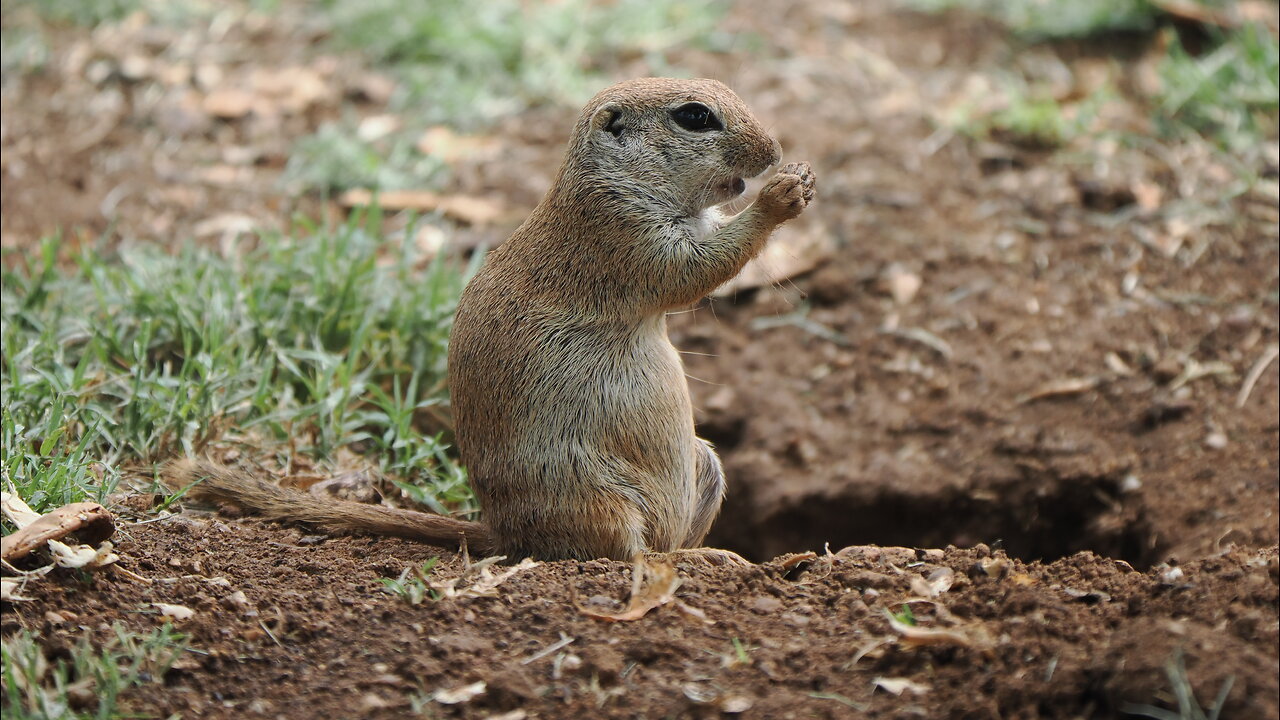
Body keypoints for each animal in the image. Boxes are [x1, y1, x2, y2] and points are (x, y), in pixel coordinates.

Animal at [165, 78, 814, 561]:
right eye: (695, 116)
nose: (775, 152)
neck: (610, 178)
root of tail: (503, 532)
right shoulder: (621, 233)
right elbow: (693, 267)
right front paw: (779, 196)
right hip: (593, 498)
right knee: (624, 554)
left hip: (705, 466)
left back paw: (714, 555)